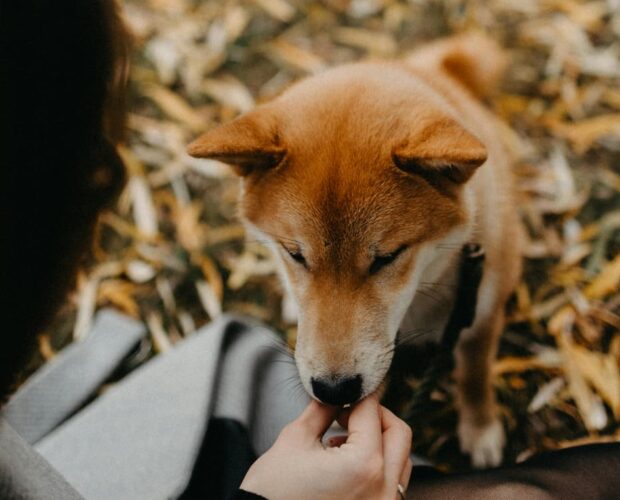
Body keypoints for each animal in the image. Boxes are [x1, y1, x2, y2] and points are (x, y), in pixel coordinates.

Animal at [188, 33, 524, 466]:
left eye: (386, 258)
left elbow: (475, 373)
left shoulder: (479, 313)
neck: (417, 307)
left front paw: (480, 428)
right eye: (295, 254)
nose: (334, 389)